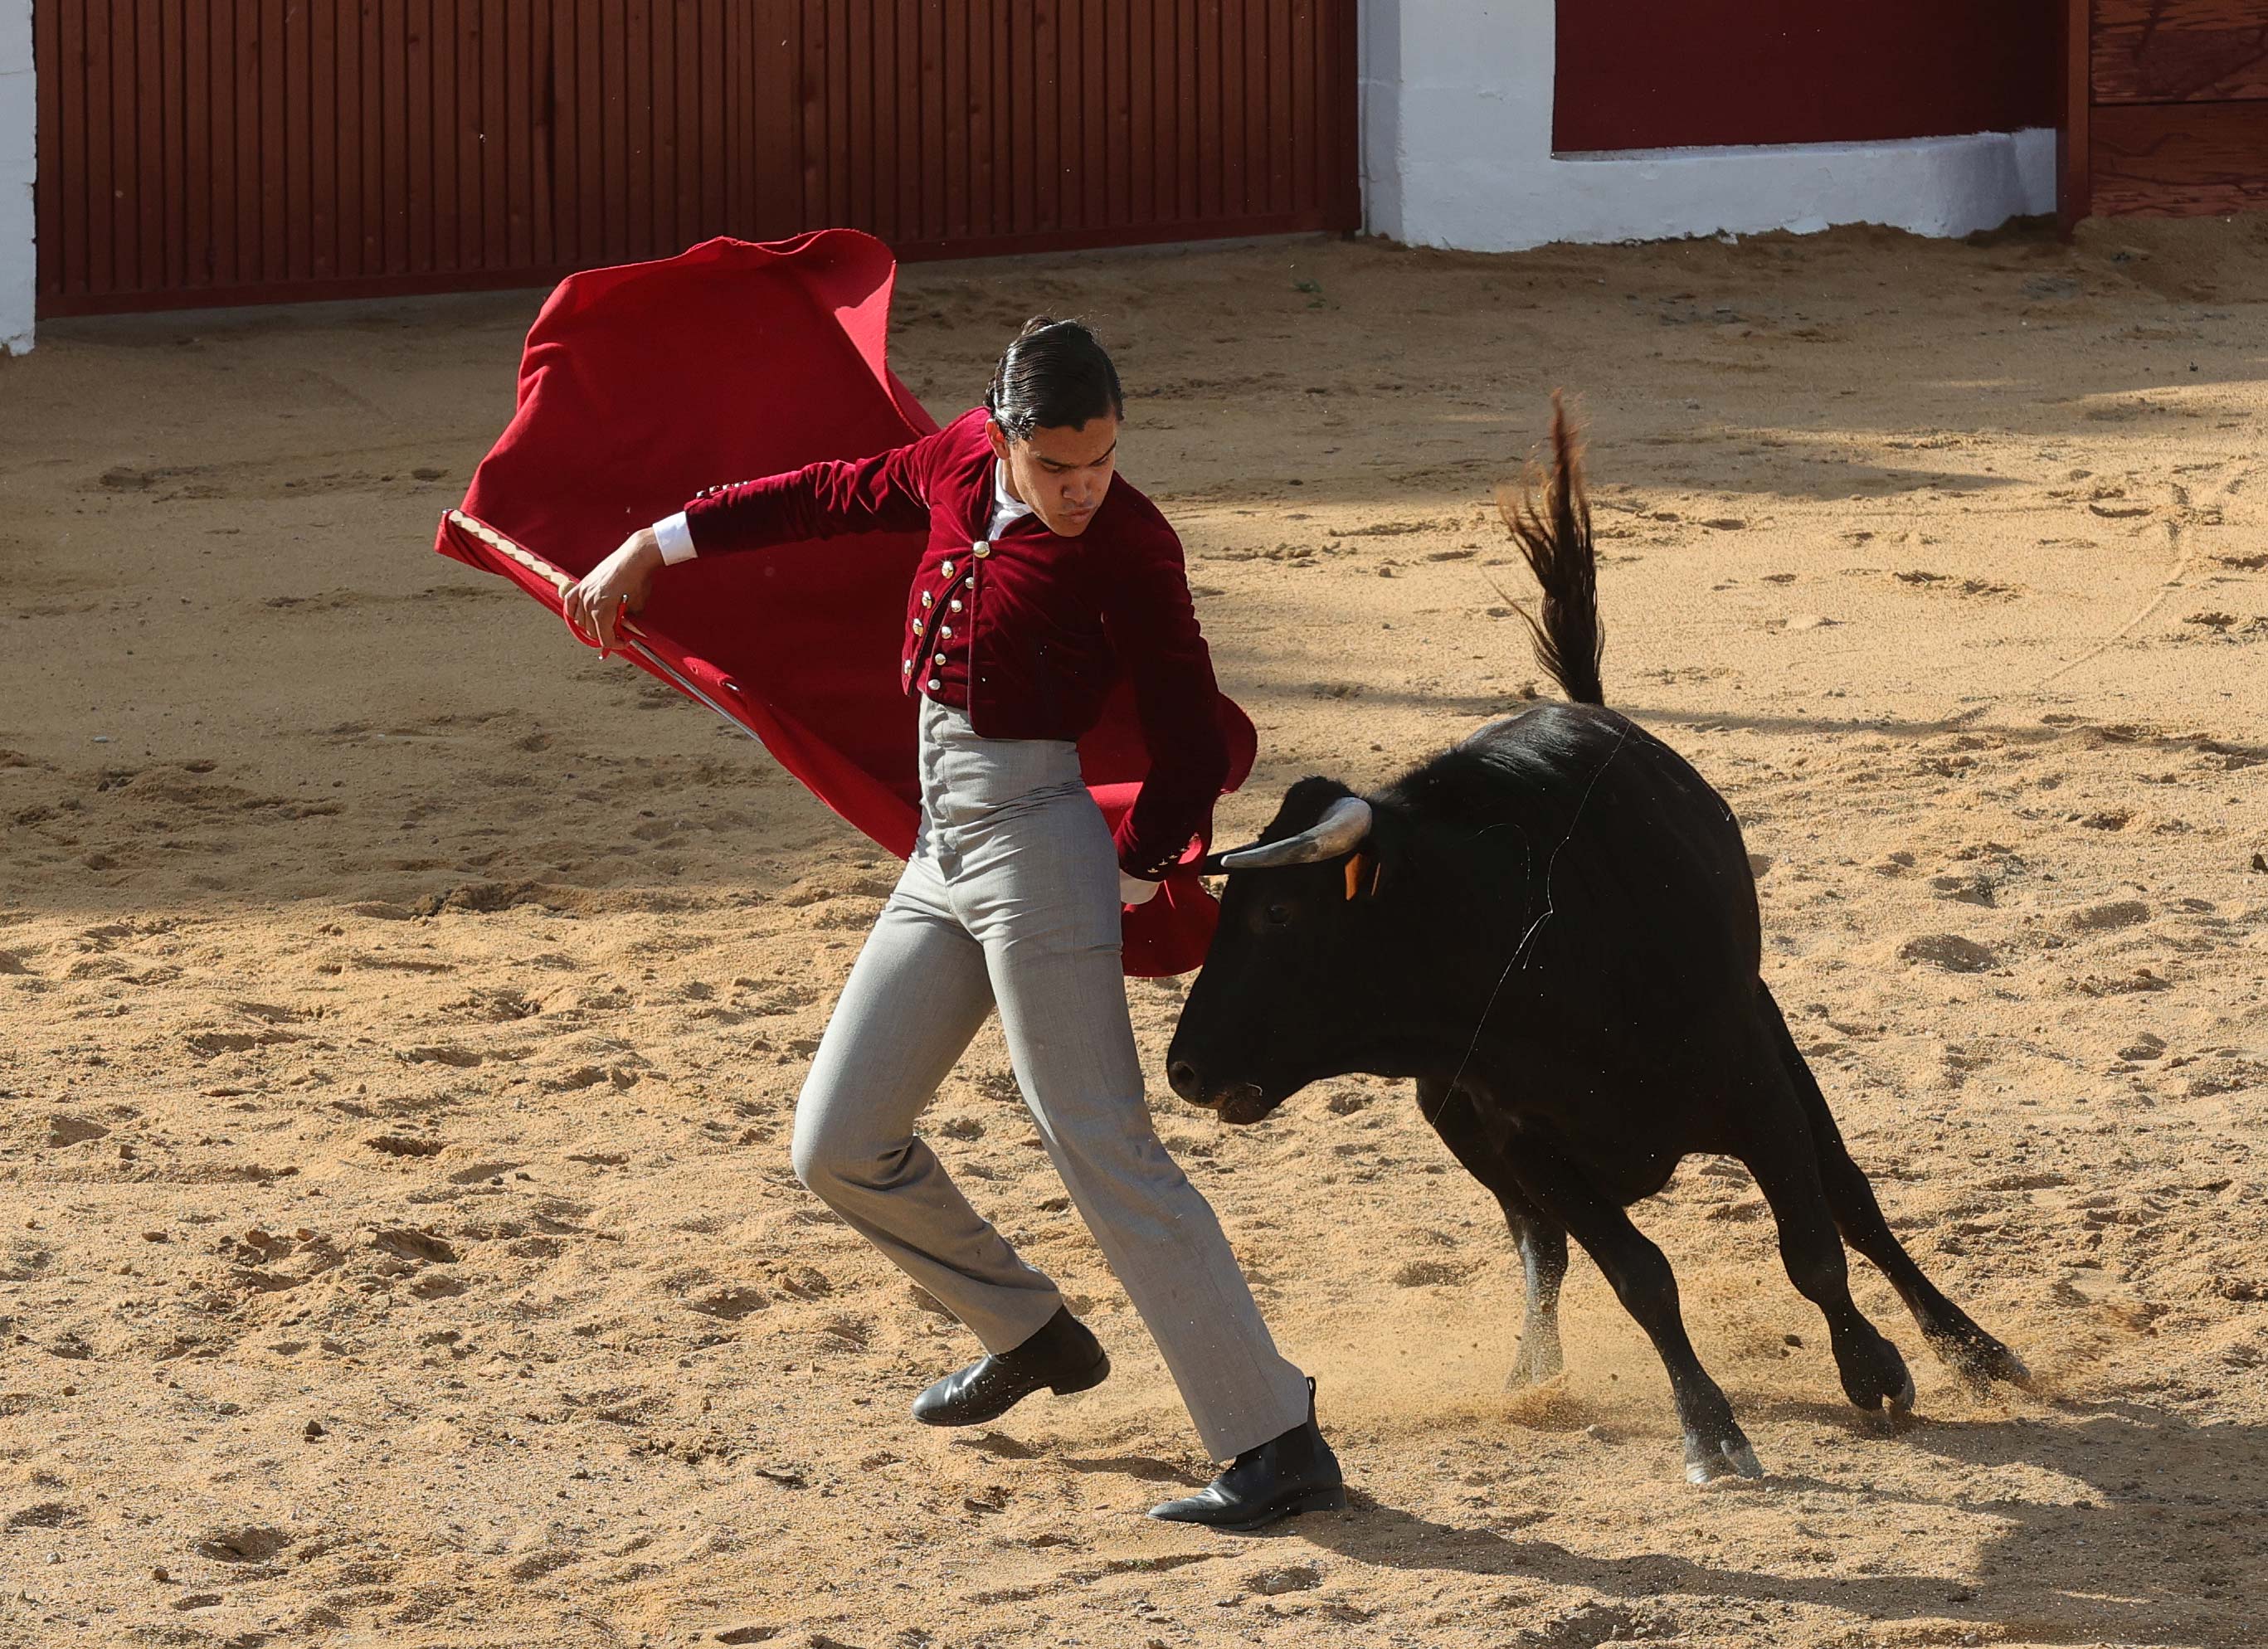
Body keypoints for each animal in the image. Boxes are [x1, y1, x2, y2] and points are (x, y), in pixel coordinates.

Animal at [1161, 410, 2032, 1487]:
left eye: (1278, 911)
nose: (1183, 1068)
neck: (1532, 953)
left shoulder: (1751, 1075)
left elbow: (1813, 1244)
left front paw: (1872, 1367)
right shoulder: (1518, 1134)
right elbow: (1636, 1273)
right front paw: (1710, 1428)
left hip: (1773, 1039)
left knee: (1852, 1199)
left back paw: (1973, 1348)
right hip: (1456, 1122)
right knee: (1543, 1251)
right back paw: (1531, 1374)